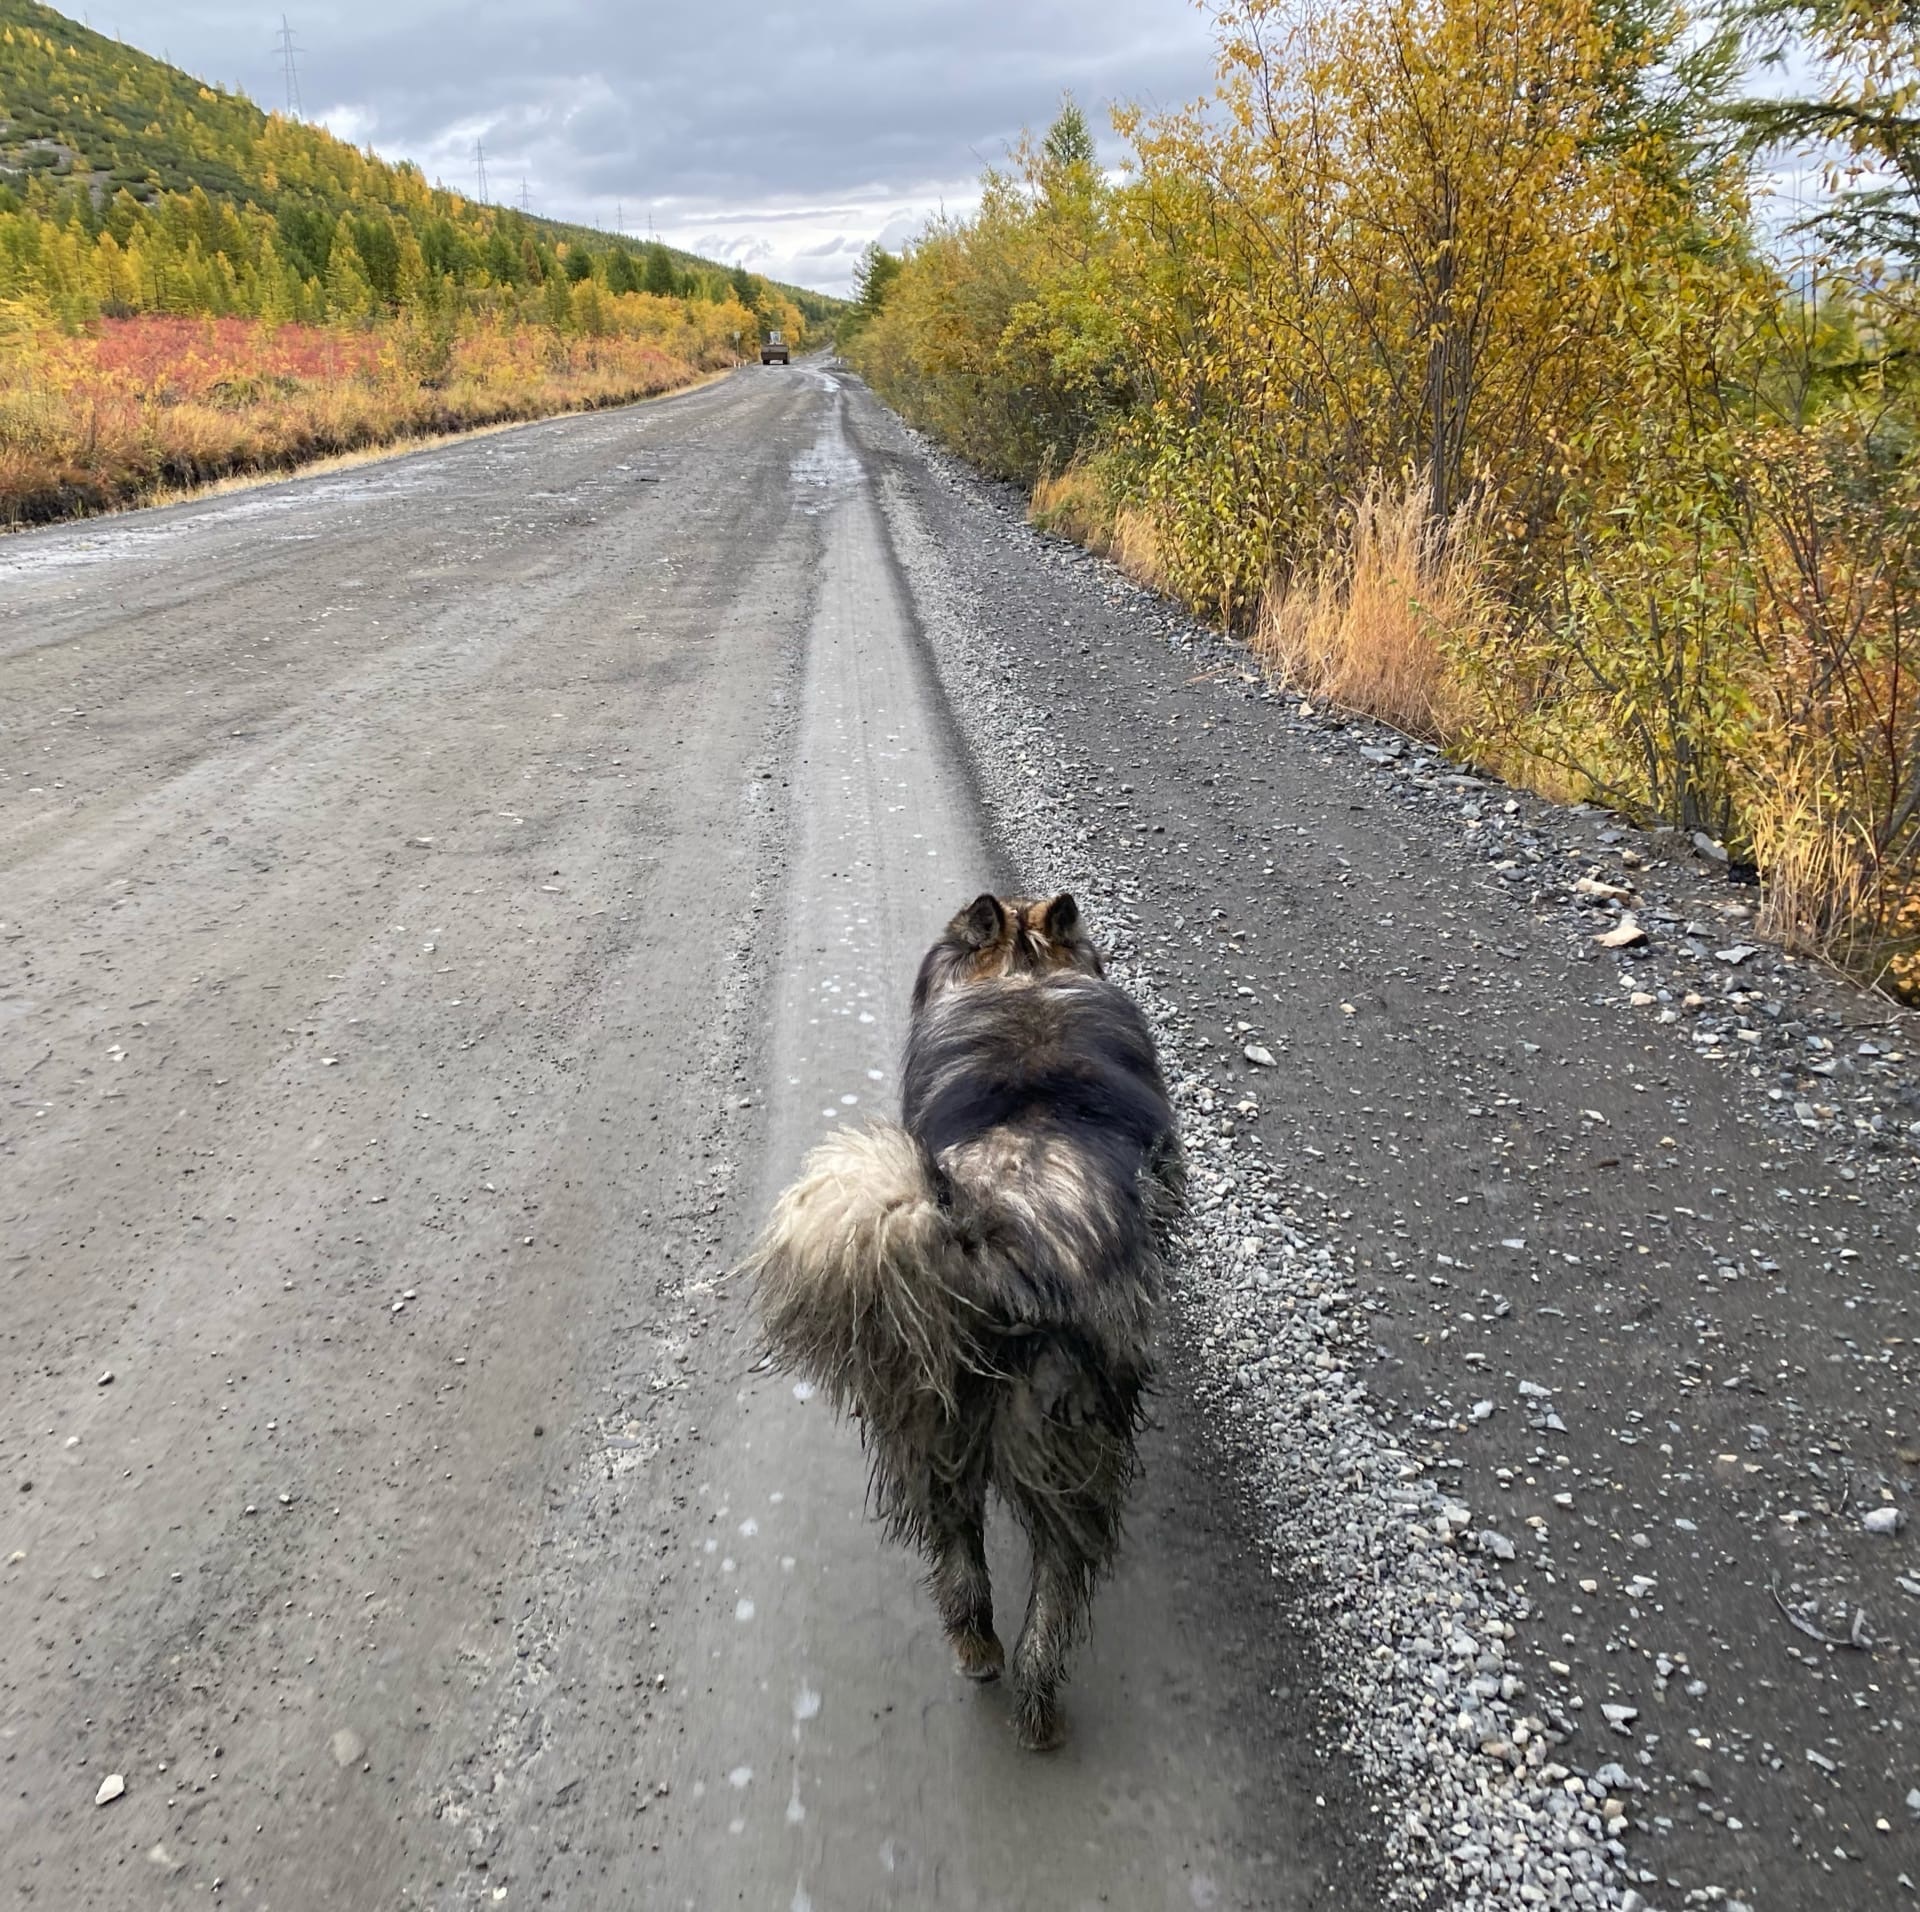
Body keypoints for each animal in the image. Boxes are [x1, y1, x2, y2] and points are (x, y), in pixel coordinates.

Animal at [737, 894, 1175, 1750]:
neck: (1022, 978)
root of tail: (988, 1246)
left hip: (926, 1428)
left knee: (959, 1562)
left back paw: (977, 1650)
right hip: (1065, 1445)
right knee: (1057, 1589)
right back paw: (1038, 1707)